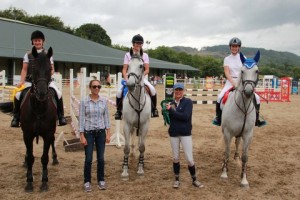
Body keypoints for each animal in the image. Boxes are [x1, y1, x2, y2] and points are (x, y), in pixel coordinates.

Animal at [20, 46, 57, 191]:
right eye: (34, 68)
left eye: (49, 69)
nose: (41, 93)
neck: (39, 109)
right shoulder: (27, 134)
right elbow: (31, 157)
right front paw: (29, 182)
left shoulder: (48, 133)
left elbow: (44, 158)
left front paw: (44, 182)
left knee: (53, 141)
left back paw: (55, 158)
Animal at [220, 50, 260, 188]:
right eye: (242, 71)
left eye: (257, 71)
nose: (248, 92)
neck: (242, 108)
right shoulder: (227, 132)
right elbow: (226, 152)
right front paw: (224, 173)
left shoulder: (248, 134)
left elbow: (245, 156)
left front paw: (244, 179)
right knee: (226, 147)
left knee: (237, 143)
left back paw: (236, 157)